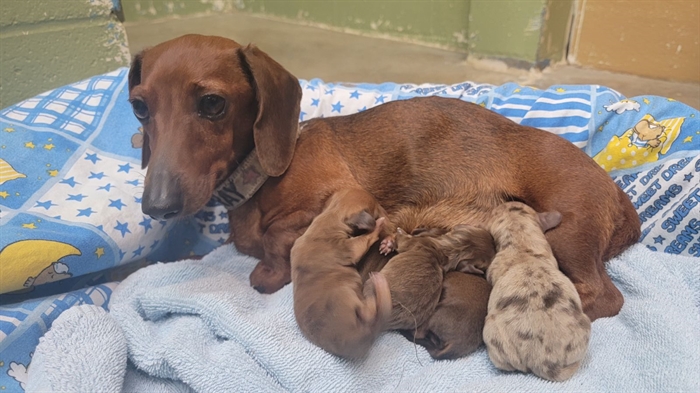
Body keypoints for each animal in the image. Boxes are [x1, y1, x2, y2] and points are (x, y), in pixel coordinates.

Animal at [130, 33, 640, 320]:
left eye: (212, 103)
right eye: (138, 106)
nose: (156, 206)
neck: (262, 178)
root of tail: (619, 195)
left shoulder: (349, 199)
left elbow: (279, 238)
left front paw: (269, 273)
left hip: (567, 232)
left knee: (606, 298)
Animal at [290, 187, 394, 358]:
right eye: (378, 207)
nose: (388, 214)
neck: (330, 216)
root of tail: (363, 337)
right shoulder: (350, 248)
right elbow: (367, 238)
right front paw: (379, 224)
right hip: (347, 298)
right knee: (371, 311)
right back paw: (376, 284)